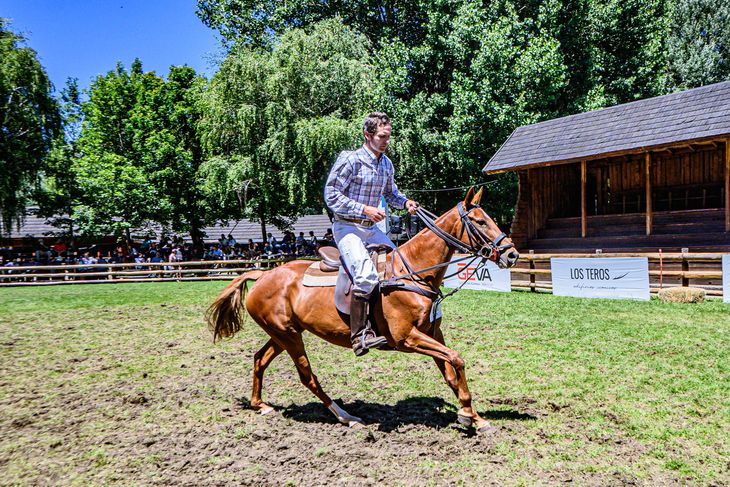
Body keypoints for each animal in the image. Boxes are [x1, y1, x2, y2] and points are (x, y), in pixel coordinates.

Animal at [206, 187, 520, 433]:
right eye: (480, 221)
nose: (512, 254)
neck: (413, 273)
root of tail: (261, 275)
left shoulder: (432, 333)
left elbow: (451, 372)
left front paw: (474, 417)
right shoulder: (406, 338)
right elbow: (456, 359)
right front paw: (468, 414)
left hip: (284, 333)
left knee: (260, 359)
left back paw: (260, 404)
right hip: (289, 336)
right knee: (307, 377)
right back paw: (347, 417)